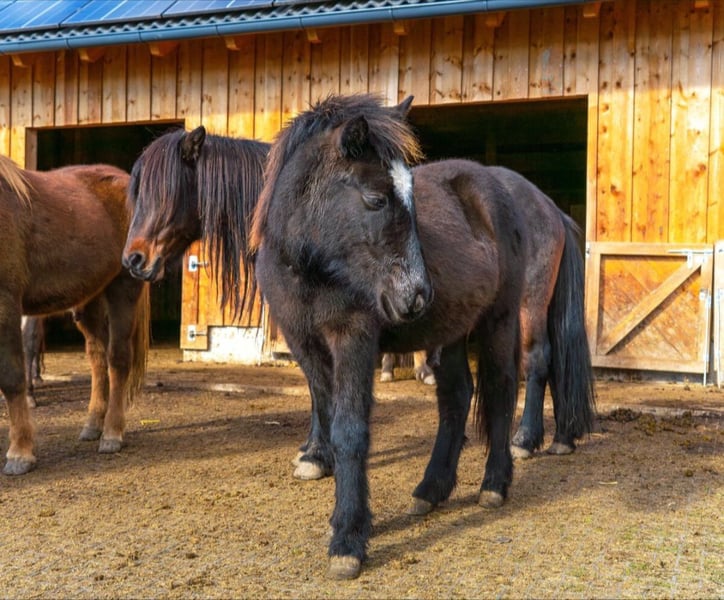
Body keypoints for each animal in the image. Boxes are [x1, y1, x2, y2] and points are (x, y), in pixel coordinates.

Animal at [0, 155, 150, 475]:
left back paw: (112, 434)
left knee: (118, 360)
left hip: (123, 288)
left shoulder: (6, 305)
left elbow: (11, 376)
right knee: (98, 359)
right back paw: (93, 425)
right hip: (89, 302)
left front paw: (20, 454)